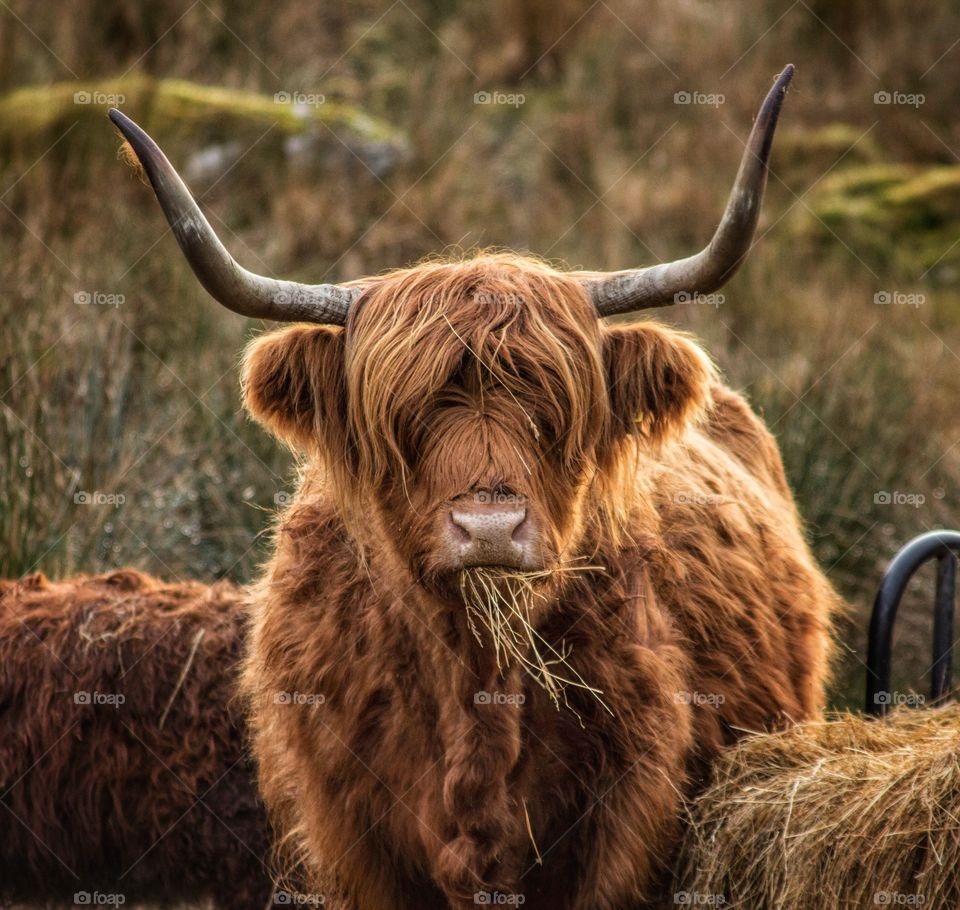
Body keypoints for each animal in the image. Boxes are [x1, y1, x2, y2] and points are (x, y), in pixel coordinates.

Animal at [109, 66, 836, 910]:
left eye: (554, 412)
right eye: (406, 417)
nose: (489, 529)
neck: (472, 677)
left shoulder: (620, 831)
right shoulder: (352, 836)